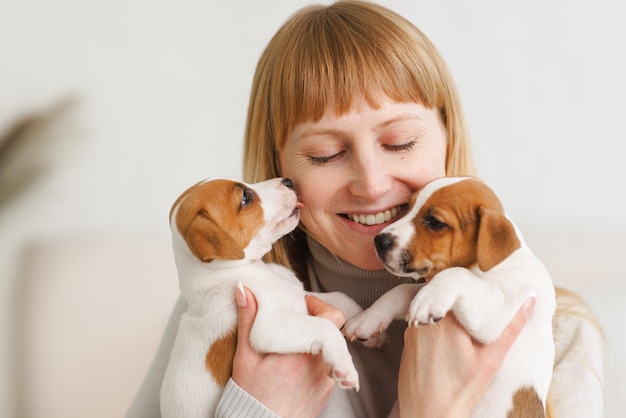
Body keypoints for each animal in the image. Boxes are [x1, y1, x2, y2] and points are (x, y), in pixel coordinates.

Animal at [158, 177, 358, 418]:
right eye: (245, 198)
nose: (288, 181)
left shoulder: (300, 293)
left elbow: (339, 297)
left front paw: (364, 319)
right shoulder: (270, 326)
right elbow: (325, 327)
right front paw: (343, 365)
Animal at [342, 176, 556, 418]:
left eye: (435, 222)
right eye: (408, 207)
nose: (379, 240)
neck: (493, 265)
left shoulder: (503, 311)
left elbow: (456, 273)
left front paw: (427, 301)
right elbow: (402, 290)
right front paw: (366, 319)